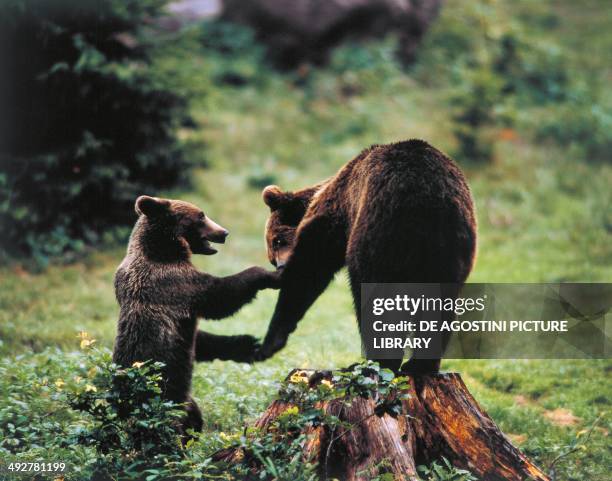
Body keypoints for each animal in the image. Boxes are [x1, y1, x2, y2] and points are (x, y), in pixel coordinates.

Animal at [112, 195, 280, 436]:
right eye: (201, 216)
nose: (224, 232)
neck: (164, 250)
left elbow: (200, 339)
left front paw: (247, 343)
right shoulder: (173, 284)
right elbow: (220, 294)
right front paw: (270, 274)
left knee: (194, 416)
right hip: (164, 397)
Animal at [253, 141, 478, 374]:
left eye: (277, 240)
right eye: (272, 256)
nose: (280, 266)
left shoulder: (336, 216)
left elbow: (310, 267)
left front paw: (270, 341)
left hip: (379, 235)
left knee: (373, 297)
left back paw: (377, 363)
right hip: (452, 248)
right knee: (441, 304)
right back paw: (419, 365)